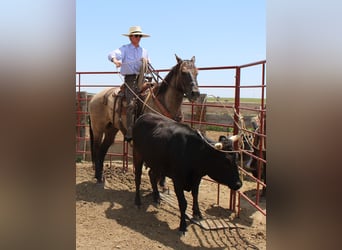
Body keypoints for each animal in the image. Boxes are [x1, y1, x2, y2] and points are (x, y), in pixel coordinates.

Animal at [88, 55, 200, 184]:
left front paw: (162, 183)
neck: (164, 103)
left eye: (197, 72)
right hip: (98, 129)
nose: (195, 93)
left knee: (102, 151)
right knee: (96, 149)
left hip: (111, 130)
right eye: (183, 72)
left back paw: (101, 176)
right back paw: (97, 176)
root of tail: (94, 98)